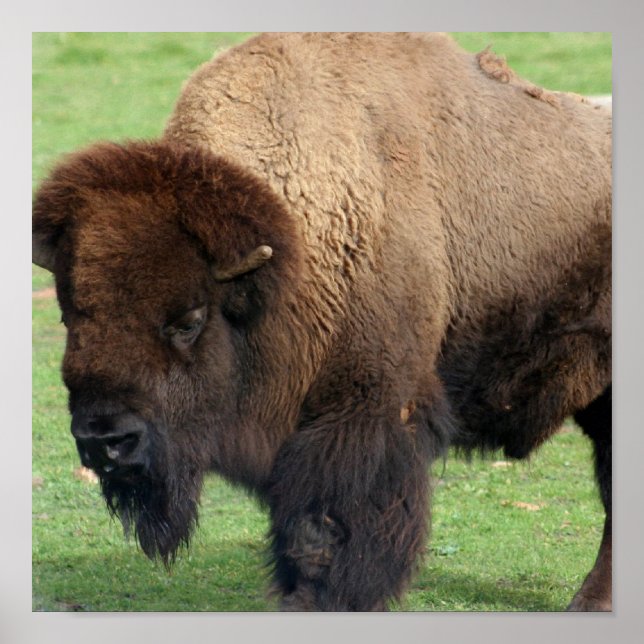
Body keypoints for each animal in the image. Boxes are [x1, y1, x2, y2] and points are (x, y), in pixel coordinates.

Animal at [32, 33, 611, 611]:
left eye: (189, 320)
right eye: (69, 312)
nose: (104, 440)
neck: (291, 248)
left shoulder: (363, 414)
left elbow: (325, 531)